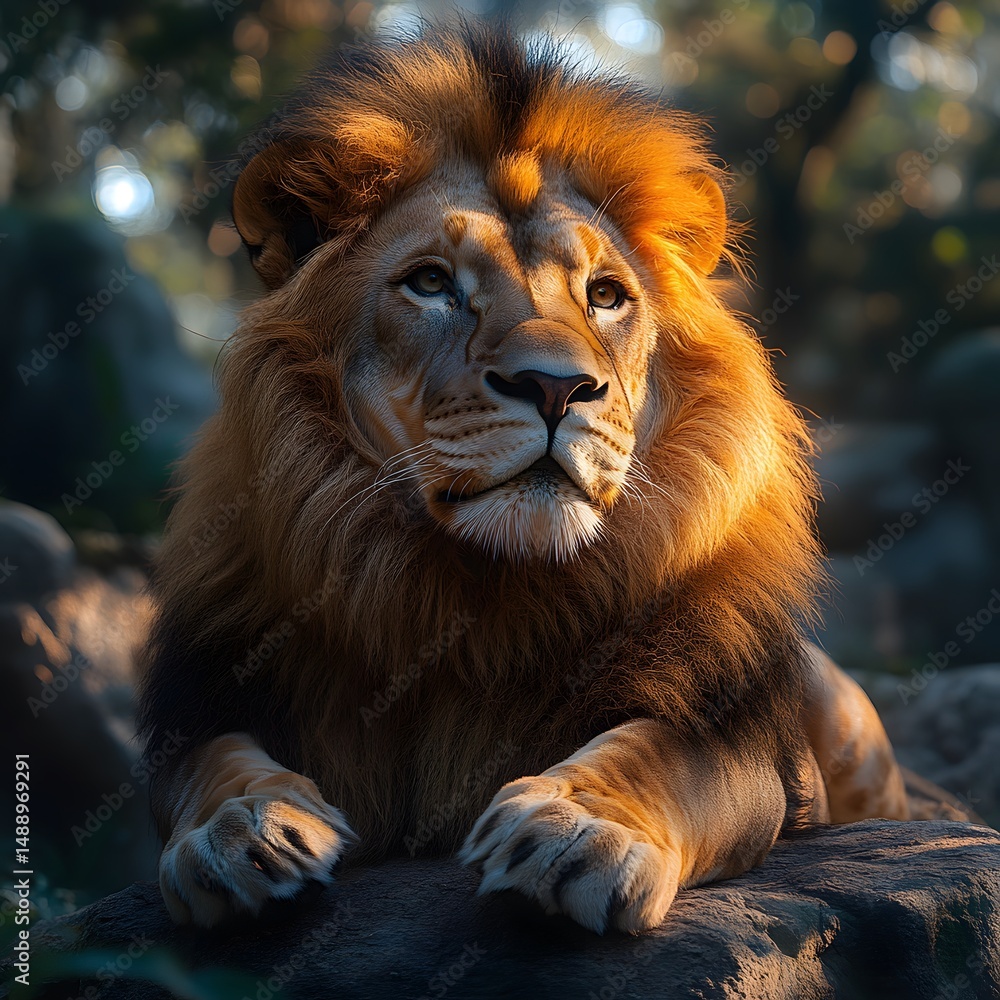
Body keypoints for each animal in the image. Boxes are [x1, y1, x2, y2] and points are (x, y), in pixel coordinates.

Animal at [137, 23, 919, 933]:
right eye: (431, 283)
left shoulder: (726, 730)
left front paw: (575, 831)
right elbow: (214, 766)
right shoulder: (204, 705)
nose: (555, 387)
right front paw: (244, 830)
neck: (485, 593)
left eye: (606, 295)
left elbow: (654, 755)